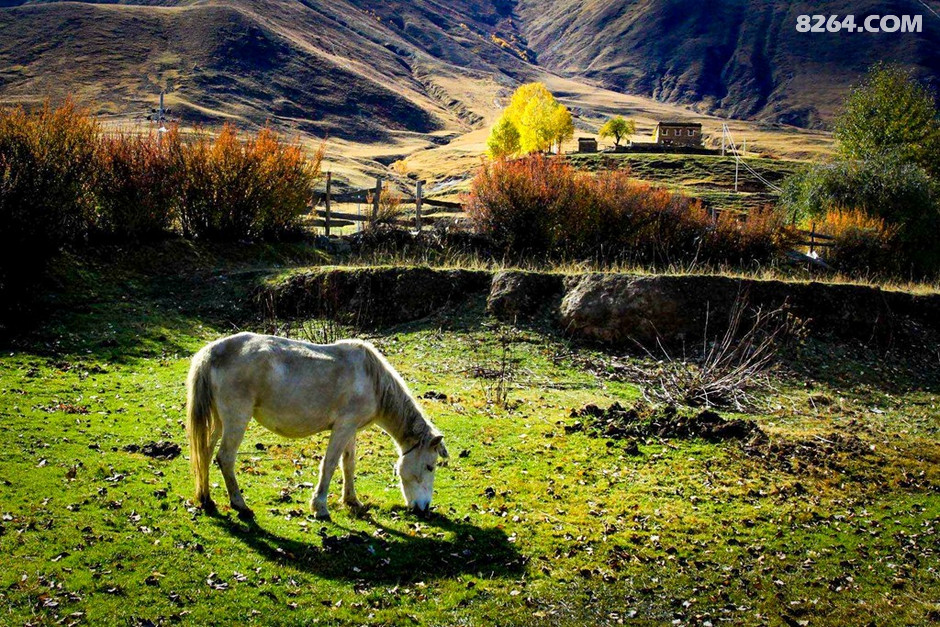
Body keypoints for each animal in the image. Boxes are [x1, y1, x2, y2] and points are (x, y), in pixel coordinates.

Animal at [185, 334, 450, 520]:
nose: (424, 509)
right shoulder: (343, 427)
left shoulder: (350, 430)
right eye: (430, 466)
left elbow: (348, 464)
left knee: (205, 453)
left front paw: (352, 500)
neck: (372, 380)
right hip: (236, 420)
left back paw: (206, 499)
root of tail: (211, 352)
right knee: (225, 458)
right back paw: (240, 504)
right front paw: (320, 506)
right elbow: (330, 464)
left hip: (219, 422)